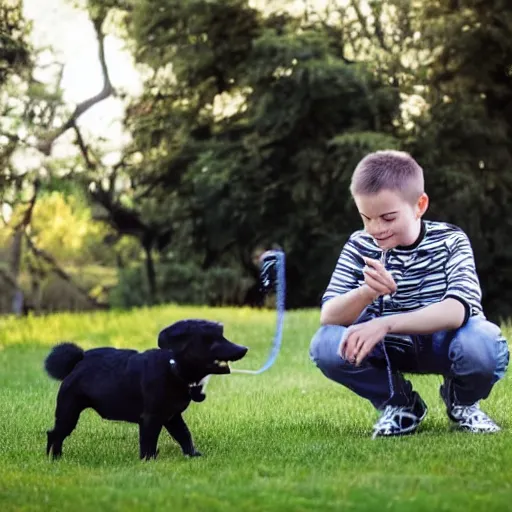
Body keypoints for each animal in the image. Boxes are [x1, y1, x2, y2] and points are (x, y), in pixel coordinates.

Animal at [44, 320, 248, 460]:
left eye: (223, 336)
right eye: (211, 340)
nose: (243, 348)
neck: (173, 368)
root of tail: (76, 362)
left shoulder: (172, 417)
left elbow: (184, 435)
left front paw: (192, 455)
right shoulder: (151, 418)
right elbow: (149, 441)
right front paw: (148, 461)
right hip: (68, 412)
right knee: (55, 434)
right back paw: (54, 458)